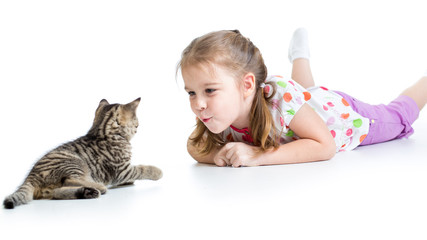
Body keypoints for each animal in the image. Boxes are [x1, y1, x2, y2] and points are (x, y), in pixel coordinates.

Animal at [3, 97, 162, 208]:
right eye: (137, 123)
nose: (138, 128)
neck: (102, 132)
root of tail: (31, 177)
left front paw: (128, 182)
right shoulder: (122, 170)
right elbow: (141, 169)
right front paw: (157, 172)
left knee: (57, 192)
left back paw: (86, 192)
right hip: (75, 163)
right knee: (69, 180)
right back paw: (98, 187)